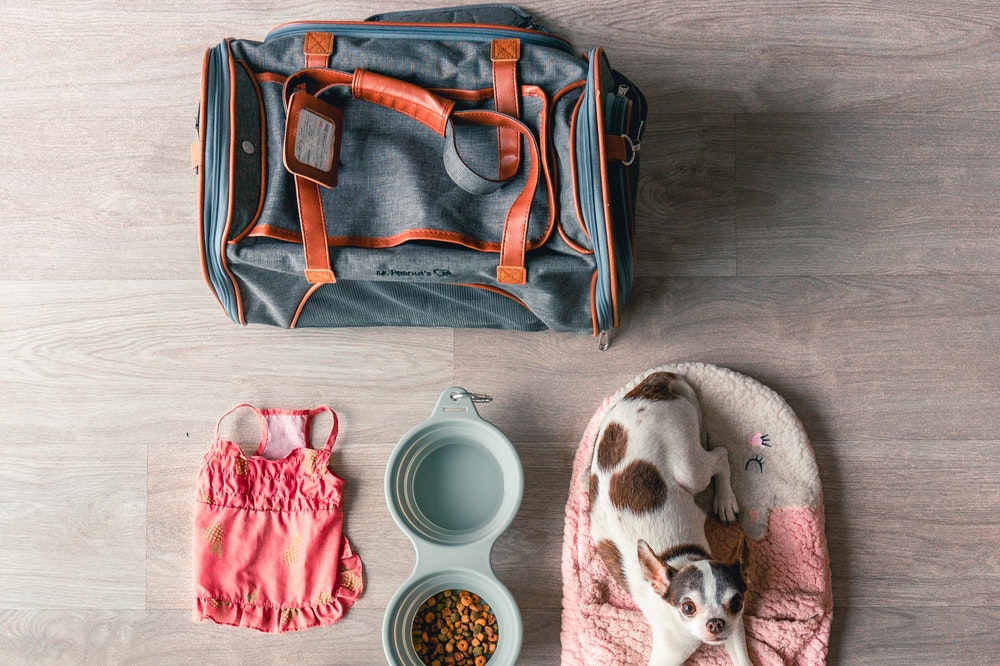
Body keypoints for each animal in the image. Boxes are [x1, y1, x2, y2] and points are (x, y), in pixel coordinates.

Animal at [584, 370, 752, 664]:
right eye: (688, 607)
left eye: (736, 602)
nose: (716, 623)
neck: (680, 560)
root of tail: (655, 384)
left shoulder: (735, 626)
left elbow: (742, 657)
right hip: (689, 468)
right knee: (720, 455)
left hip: (688, 467)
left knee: (720, 455)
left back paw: (724, 500)